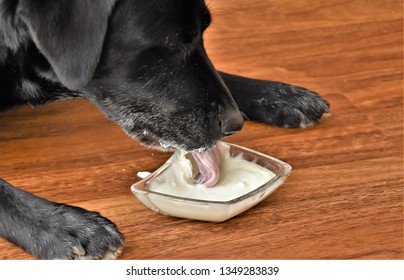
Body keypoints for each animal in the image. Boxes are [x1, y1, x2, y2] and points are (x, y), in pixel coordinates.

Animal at [0, 0, 328, 260]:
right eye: (170, 44)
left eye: (202, 32)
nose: (235, 124)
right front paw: (62, 225)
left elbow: (220, 76)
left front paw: (277, 94)